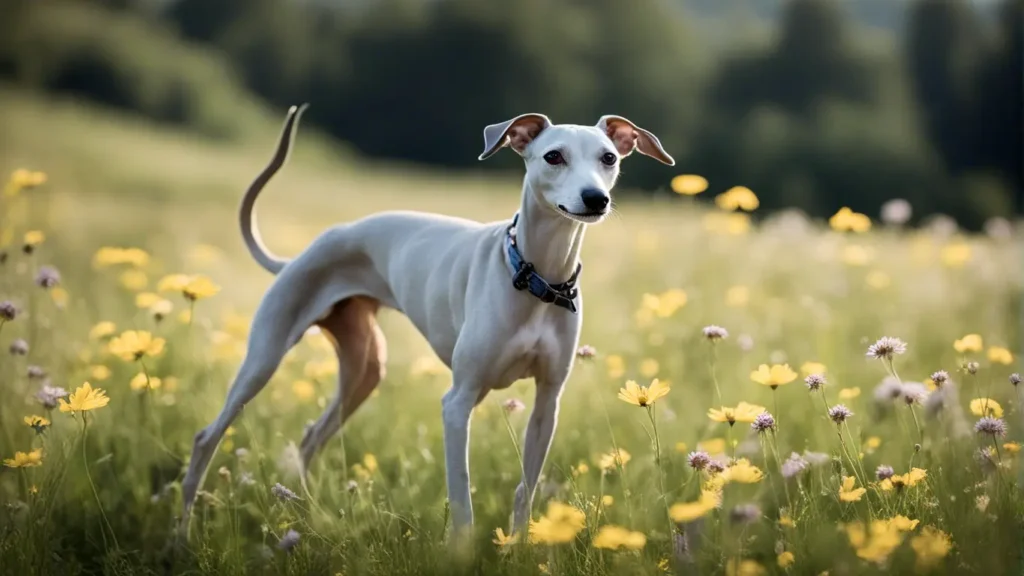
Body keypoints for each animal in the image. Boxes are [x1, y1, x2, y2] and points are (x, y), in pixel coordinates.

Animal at [178, 106, 671, 537]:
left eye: (608, 158)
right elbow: (463, 500)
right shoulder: (457, 402)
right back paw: (181, 536)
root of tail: (303, 253)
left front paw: (522, 548)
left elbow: (523, 494)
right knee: (206, 438)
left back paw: (302, 521)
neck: (535, 276)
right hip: (266, 353)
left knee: (311, 439)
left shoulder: (547, 405)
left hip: (364, 369)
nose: (596, 199)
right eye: (554, 156)